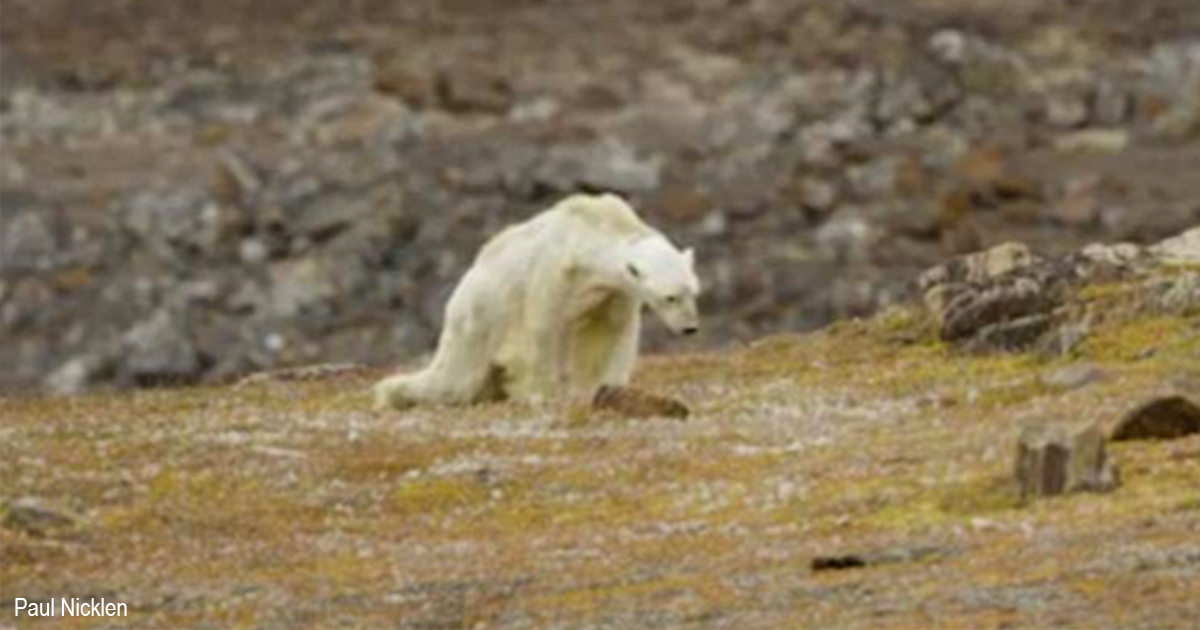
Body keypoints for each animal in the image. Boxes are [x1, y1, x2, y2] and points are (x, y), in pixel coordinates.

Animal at [369, 193, 700, 408]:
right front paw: (541, 394)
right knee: (455, 378)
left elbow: (610, 331)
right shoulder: (555, 272)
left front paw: (603, 388)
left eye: (693, 293)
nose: (690, 329)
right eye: (670, 297)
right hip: (478, 315)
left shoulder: (614, 291)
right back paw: (392, 392)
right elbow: (543, 327)